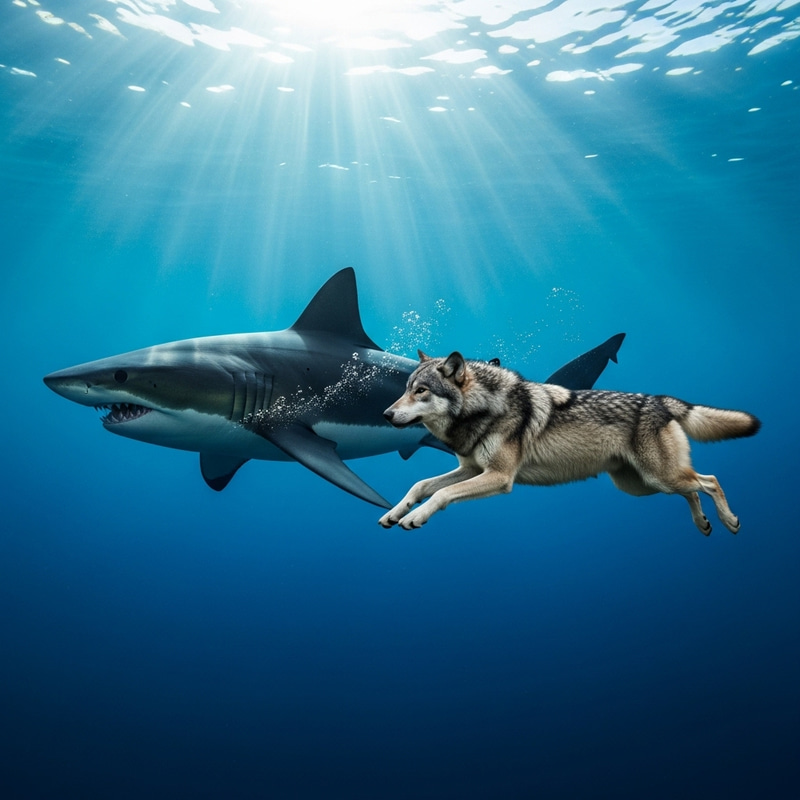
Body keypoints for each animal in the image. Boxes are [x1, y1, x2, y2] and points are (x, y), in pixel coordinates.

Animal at [379, 351, 760, 533]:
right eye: (405, 388)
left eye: (421, 390)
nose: (385, 414)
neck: (484, 408)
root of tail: (662, 400)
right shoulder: (472, 469)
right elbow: (420, 485)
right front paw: (395, 513)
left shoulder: (499, 477)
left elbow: (441, 494)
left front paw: (416, 518)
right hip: (641, 485)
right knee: (693, 489)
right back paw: (703, 525)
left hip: (658, 478)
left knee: (709, 481)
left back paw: (730, 522)